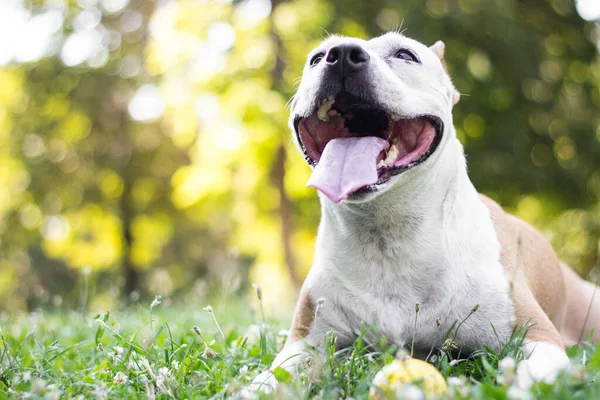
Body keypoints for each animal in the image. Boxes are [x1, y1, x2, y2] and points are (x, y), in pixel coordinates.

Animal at [247, 31, 600, 394]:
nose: (341, 54)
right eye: (316, 58)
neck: (388, 232)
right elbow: (270, 378)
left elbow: (537, 373)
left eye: (405, 54)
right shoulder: (307, 341)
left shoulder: (537, 335)